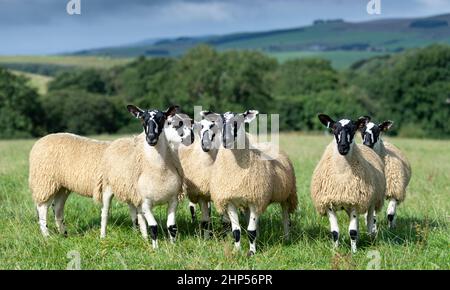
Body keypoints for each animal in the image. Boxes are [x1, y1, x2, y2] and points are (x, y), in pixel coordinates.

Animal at [95, 105, 193, 248]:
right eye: (142, 119)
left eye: (162, 118)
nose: (151, 138)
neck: (159, 171)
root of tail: (119, 140)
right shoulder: (146, 202)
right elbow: (154, 227)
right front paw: (156, 249)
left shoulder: (173, 200)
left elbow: (172, 227)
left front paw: (173, 246)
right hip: (108, 187)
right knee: (105, 213)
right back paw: (103, 236)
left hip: (132, 193)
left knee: (136, 215)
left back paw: (142, 236)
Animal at [206, 110, 298, 255]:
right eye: (219, 123)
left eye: (238, 122)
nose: (225, 140)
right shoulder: (230, 200)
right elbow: (236, 231)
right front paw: (236, 251)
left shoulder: (256, 199)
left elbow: (251, 231)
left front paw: (251, 252)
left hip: (287, 194)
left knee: (285, 217)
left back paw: (287, 238)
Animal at [312, 114, 384, 253]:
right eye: (334, 129)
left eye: (353, 129)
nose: (343, 147)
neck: (342, 174)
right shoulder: (329, 203)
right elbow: (335, 232)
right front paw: (335, 251)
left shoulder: (355, 201)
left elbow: (353, 231)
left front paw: (354, 252)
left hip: (372, 200)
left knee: (370, 220)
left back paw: (371, 238)